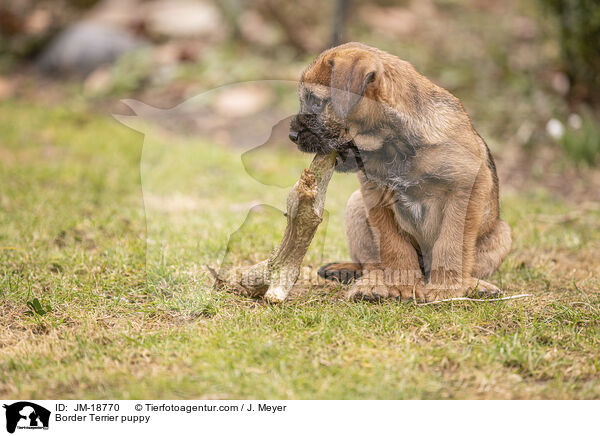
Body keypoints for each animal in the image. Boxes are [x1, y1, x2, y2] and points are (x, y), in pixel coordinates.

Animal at [290, 42, 510, 302]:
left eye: (316, 101)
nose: (292, 136)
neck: (395, 145)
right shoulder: (375, 194)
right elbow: (393, 244)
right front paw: (404, 284)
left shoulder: (467, 187)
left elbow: (451, 242)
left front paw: (445, 287)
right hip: (356, 204)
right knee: (371, 264)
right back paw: (370, 284)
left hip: (502, 234)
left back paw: (475, 284)